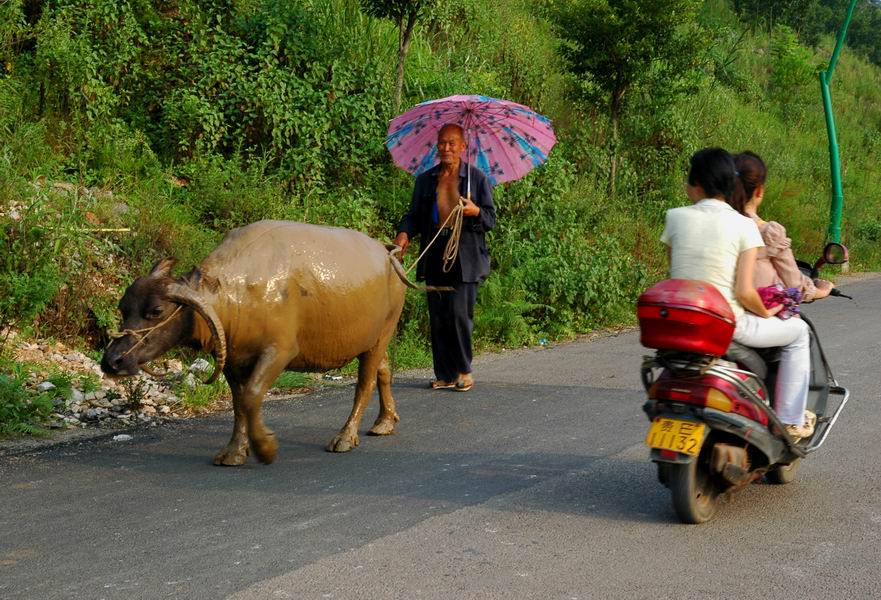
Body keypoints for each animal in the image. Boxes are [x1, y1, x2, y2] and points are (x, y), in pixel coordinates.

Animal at [101, 219, 410, 464]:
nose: (112, 361)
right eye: (123, 308)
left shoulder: (279, 350)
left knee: (365, 383)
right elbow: (239, 404)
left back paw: (345, 437)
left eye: (156, 311)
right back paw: (384, 422)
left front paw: (265, 447)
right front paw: (234, 452)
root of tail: (388, 255)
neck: (234, 295)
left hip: (384, 332)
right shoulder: (232, 357)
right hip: (374, 337)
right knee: (384, 370)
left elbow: (252, 395)